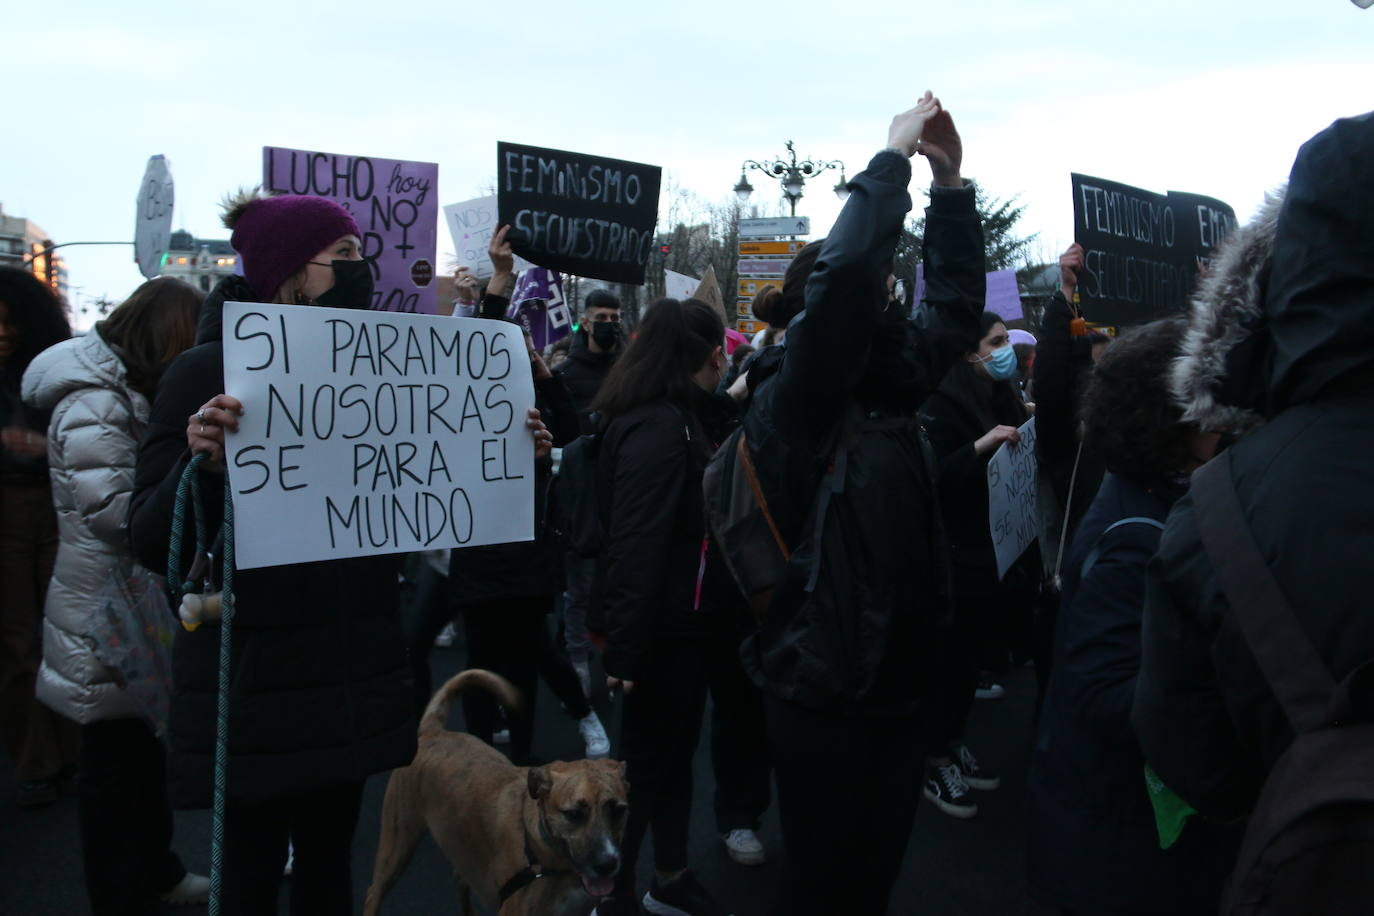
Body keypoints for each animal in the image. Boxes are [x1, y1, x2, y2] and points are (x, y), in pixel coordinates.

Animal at [359, 667, 629, 916]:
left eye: (618, 810)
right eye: (573, 814)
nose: (607, 864)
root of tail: (432, 731)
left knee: (459, 877)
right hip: (396, 844)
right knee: (373, 891)